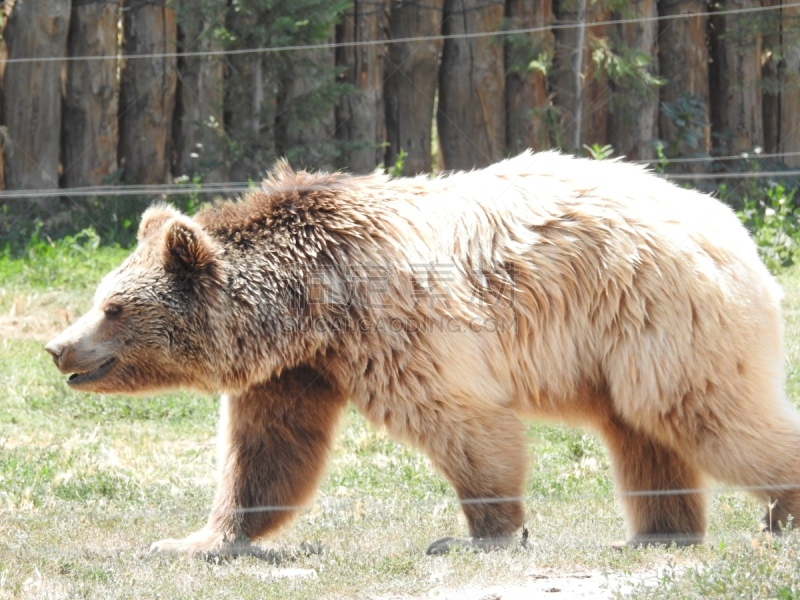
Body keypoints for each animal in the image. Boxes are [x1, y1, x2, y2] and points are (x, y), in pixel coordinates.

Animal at [45, 152, 800, 556]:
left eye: (114, 308)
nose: (57, 348)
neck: (310, 302)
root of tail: (727, 223)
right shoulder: (298, 370)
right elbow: (265, 454)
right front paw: (198, 539)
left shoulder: (396, 329)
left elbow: (464, 424)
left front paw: (478, 534)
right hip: (621, 350)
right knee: (643, 435)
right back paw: (655, 533)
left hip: (659, 317)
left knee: (707, 415)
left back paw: (776, 514)